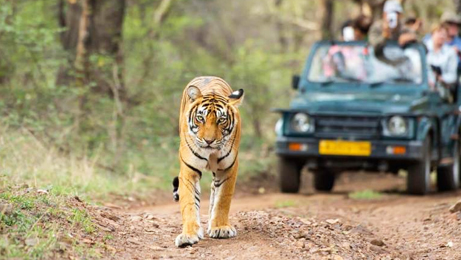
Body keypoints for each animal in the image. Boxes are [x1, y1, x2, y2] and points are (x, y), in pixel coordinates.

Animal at [172, 76, 244, 247]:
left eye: (221, 120)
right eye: (200, 118)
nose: (209, 141)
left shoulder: (228, 169)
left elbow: (223, 199)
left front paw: (220, 227)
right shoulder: (188, 171)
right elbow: (189, 203)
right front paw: (188, 235)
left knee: (214, 190)